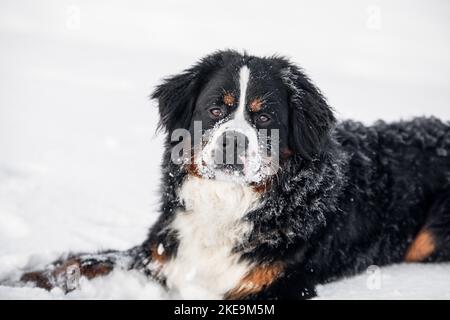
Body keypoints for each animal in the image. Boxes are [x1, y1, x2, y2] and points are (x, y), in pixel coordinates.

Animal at [16, 50, 450, 300]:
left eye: (265, 117)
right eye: (215, 109)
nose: (232, 142)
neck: (225, 202)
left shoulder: (277, 284)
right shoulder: (163, 250)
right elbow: (86, 261)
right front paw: (25, 278)